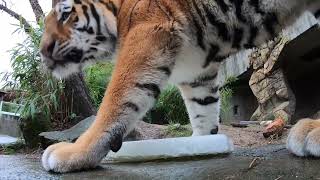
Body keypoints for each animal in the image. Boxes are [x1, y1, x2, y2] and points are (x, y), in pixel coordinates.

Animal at [40, 0, 320, 173]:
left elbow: (114, 101)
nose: (43, 51)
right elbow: (203, 110)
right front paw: (200, 143)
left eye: (65, 14)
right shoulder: (197, 72)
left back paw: (311, 132)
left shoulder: (146, 34)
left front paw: (74, 153)